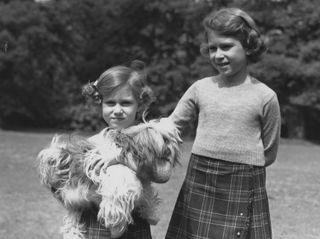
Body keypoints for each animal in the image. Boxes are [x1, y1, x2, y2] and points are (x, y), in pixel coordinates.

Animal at [37, 119, 180, 239]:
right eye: (165, 139)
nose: (172, 149)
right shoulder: (120, 180)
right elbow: (118, 203)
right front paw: (116, 228)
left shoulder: (138, 182)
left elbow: (147, 195)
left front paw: (152, 216)